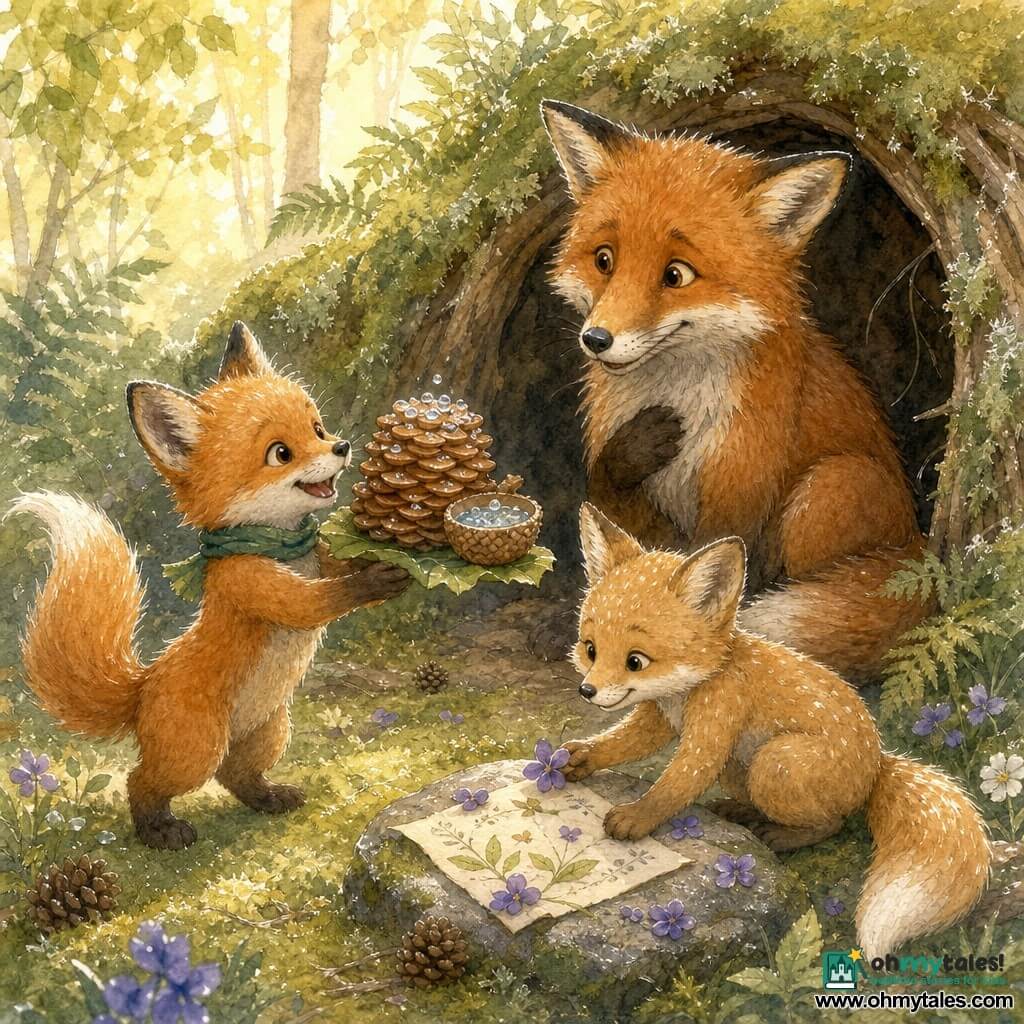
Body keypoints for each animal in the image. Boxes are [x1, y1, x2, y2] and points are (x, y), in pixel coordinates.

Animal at [13, 322, 409, 850]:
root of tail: (142, 688)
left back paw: (268, 798)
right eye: (280, 453)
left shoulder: (320, 556)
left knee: (235, 776)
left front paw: (389, 552)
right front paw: (374, 581)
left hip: (269, 730)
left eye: (317, 429)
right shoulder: (249, 582)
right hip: (195, 750)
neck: (281, 546)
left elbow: (340, 563)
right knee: (142, 781)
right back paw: (158, 830)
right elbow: (315, 601)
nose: (342, 447)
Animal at [541, 99, 928, 680]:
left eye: (676, 275)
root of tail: (920, 539)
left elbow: (710, 561)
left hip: (830, 486)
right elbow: (615, 495)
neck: (678, 395)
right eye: (604, 260)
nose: (596, 339)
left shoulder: (740, 478)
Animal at [563, 503, 989, 958]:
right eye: (590, 649)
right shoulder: (658, 718)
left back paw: (780, 836)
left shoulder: (716, 722)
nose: (587, 691)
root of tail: (877, 765)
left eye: (636, 661)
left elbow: (676, 782)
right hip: (742, 768)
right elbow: (622, 742)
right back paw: (742, 813)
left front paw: (636, 817)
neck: (693, 687)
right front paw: (580, 757)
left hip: (775, 762)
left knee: (834, 822)